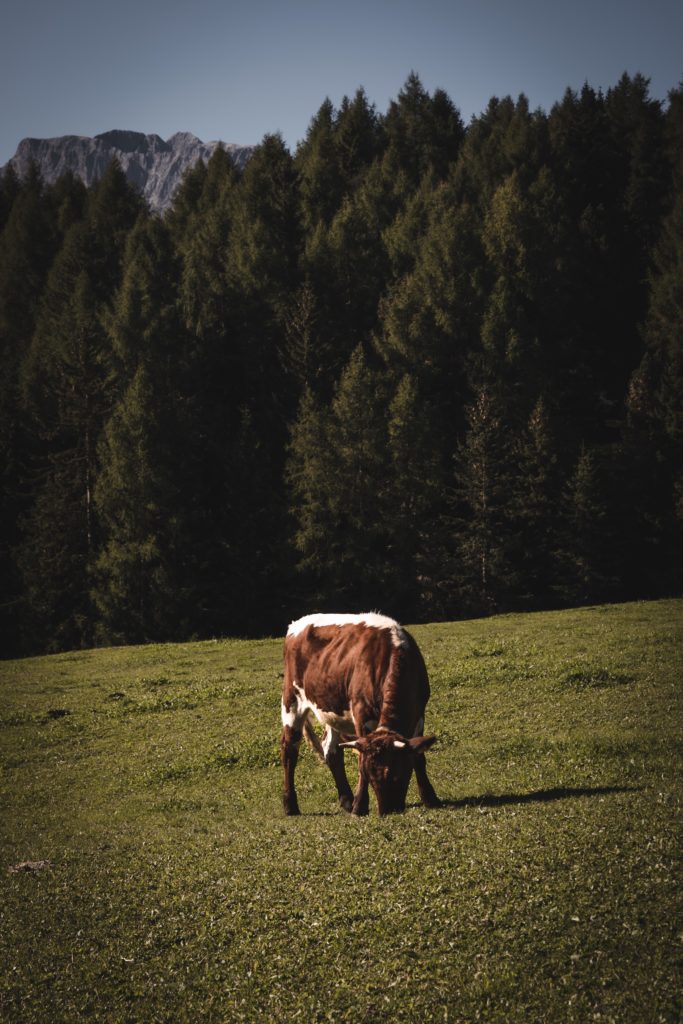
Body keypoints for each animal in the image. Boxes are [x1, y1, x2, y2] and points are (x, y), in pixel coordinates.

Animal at [280, 610, 440, 819]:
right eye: (371, 775)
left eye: (399, 774)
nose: (388, 810)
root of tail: (296, 623)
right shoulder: (361, 715)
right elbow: (360, 759)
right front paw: (360, 806)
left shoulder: (419, 713)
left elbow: (419, 758)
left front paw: (431, 798)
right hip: (292, 700)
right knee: (289, 750)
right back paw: (290, 805)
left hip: (331, 709)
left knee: (331, 750)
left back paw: (347, 800)